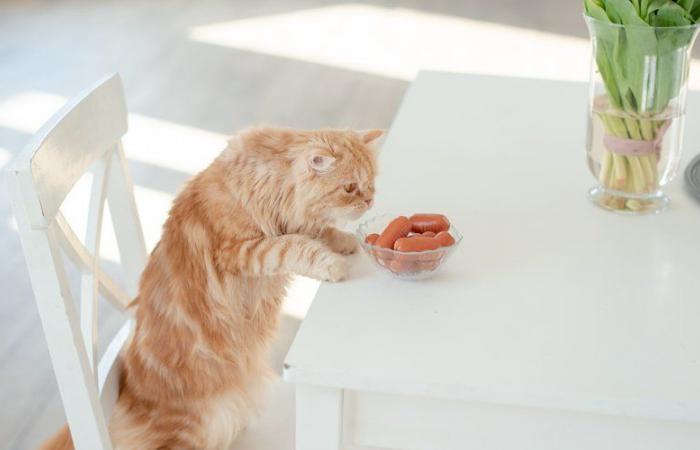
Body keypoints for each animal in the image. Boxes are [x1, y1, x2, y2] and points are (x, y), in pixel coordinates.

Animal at [42, 126, 382, 450]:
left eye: (372, 182)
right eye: (349, 187)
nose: (369, 201)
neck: (265, 186)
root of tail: (121, 393)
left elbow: (320, 232)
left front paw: (345, 241)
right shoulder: (241, 251)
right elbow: (295, 246)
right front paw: (333, 264)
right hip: (190, 429)